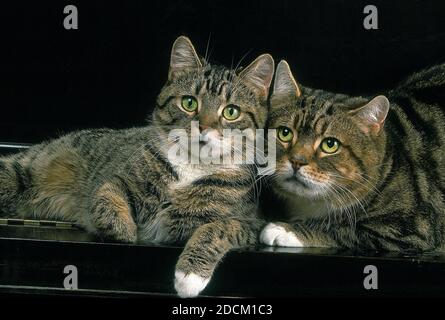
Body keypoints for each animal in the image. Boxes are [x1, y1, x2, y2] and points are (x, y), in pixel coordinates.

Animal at [0, 37, 274, 298]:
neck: (192, 167)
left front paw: (190, 276)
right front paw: (125, 230)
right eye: (189, 103)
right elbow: (105, 195)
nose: (204, 127)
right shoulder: (118, 177)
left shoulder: (253, 222)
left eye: (231, 112)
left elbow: (218, 228)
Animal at [258, 59, 444, 250]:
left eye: (330, 144)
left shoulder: (411, 229)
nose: (297, 161)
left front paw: (286, 230)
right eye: (285, 133)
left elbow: (343, 229)